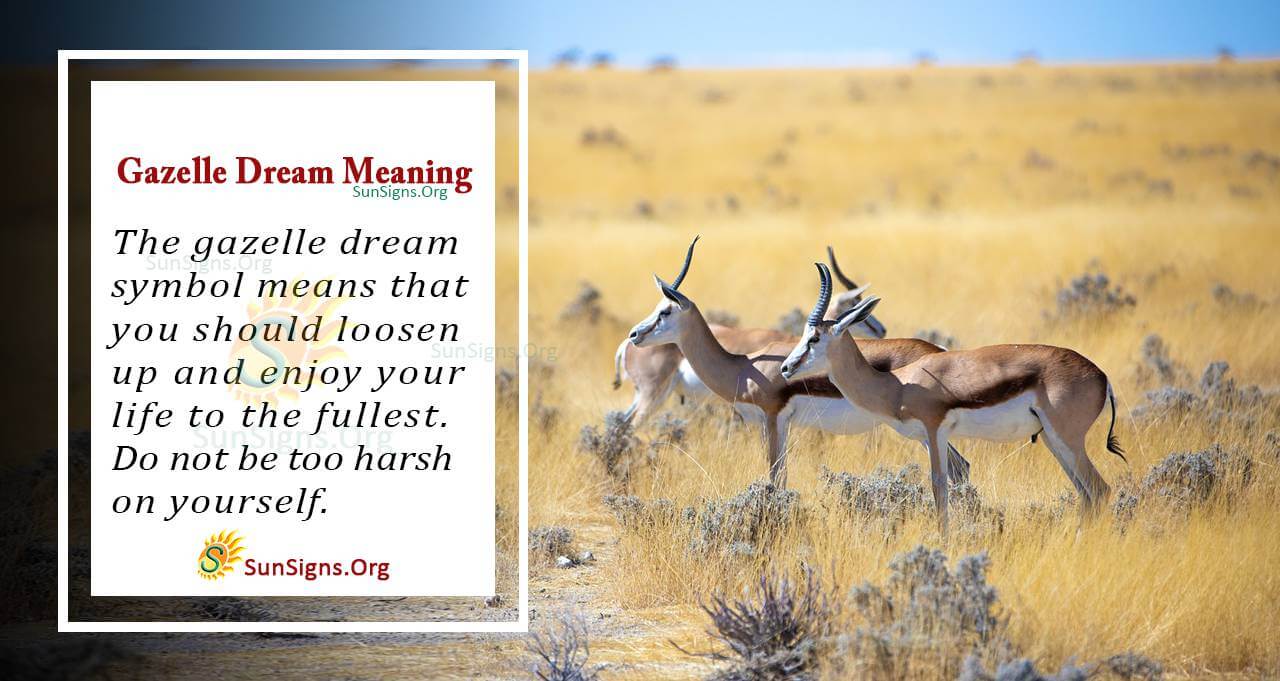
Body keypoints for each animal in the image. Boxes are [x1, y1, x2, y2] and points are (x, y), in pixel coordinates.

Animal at [780, 263, 1125, 532]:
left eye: (814, 338)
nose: (785, 368)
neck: (898, 384)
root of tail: (1103, 377)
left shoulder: (935, 432)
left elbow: (939, 487)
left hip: (1067, 439)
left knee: (1100, 490)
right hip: (1055, 441)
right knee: (1087, 494)